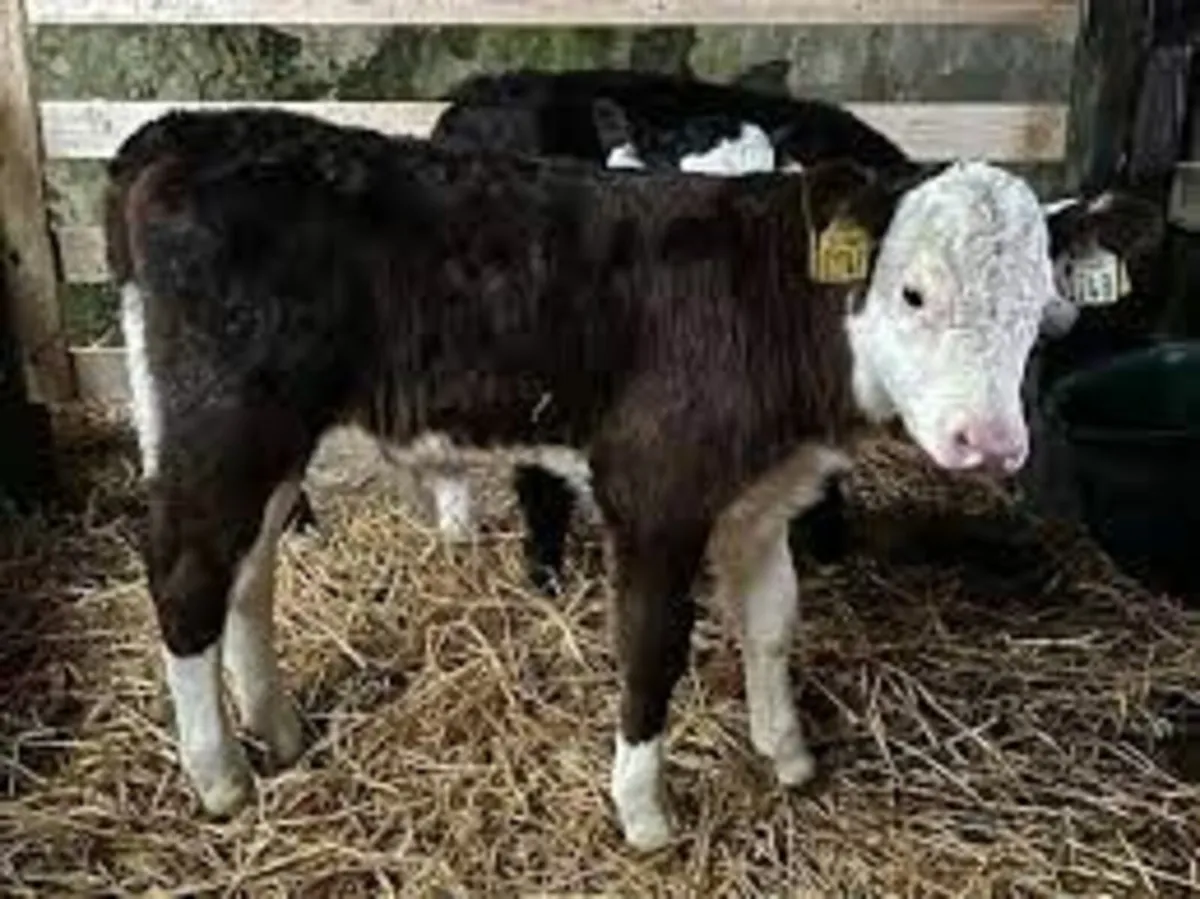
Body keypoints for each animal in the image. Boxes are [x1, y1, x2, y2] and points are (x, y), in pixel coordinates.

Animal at [105, 105, 1160, 851]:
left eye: (1035, 301)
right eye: (912, 292)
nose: (990, 442)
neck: (764, 306)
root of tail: (185, 135)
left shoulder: (762, 498)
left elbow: (772, 624)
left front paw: (787, 754)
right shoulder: (655, 492)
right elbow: (653, 648)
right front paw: (645, 814)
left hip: (266, 440)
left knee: (248, 575)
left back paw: (276, 728)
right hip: (221, 424)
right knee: (186, 579)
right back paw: (221, 775)